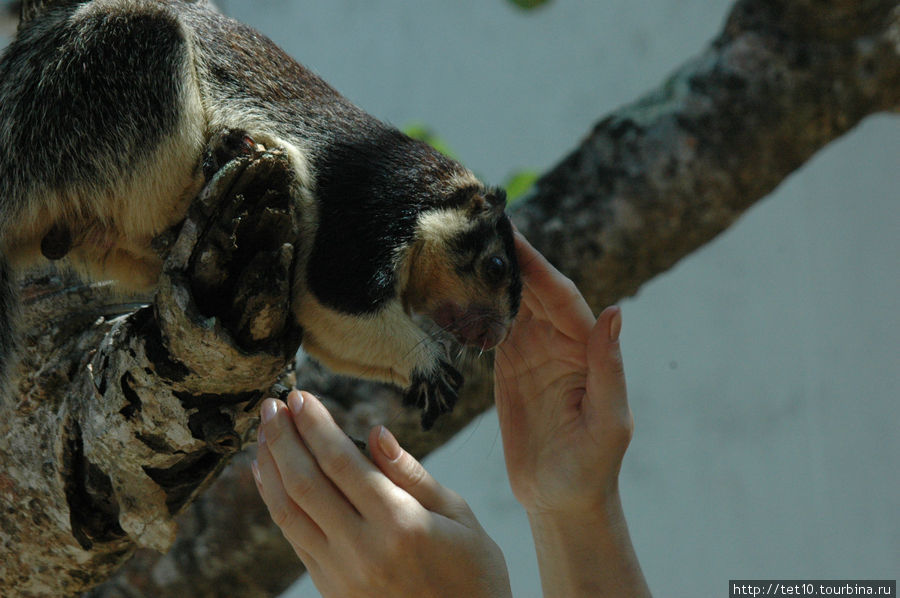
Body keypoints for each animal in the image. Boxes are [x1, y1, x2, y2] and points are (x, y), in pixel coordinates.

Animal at [0, 0, 520, 432]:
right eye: (496, 266)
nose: (495, 338)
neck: (424, 200)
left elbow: (328, 335)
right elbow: (339, 303)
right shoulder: (368, 213)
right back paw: (223, 151)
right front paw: (428, 364)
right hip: (118, 75)